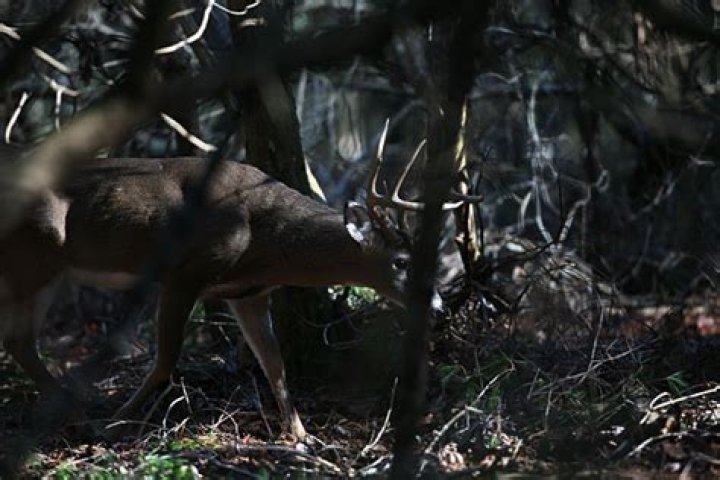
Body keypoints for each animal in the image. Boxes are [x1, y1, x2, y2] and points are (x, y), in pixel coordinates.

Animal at [0, 127, 476, 442]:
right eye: (400, 261)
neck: (266, 242)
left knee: (20, 343)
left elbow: (275, 366)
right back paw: (85, 418)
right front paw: (119, 421)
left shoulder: (248, 295)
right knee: (21, 342)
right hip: (35, 256)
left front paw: (302, 438)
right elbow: (165, 361)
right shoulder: (185, 274)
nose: (439, 307)